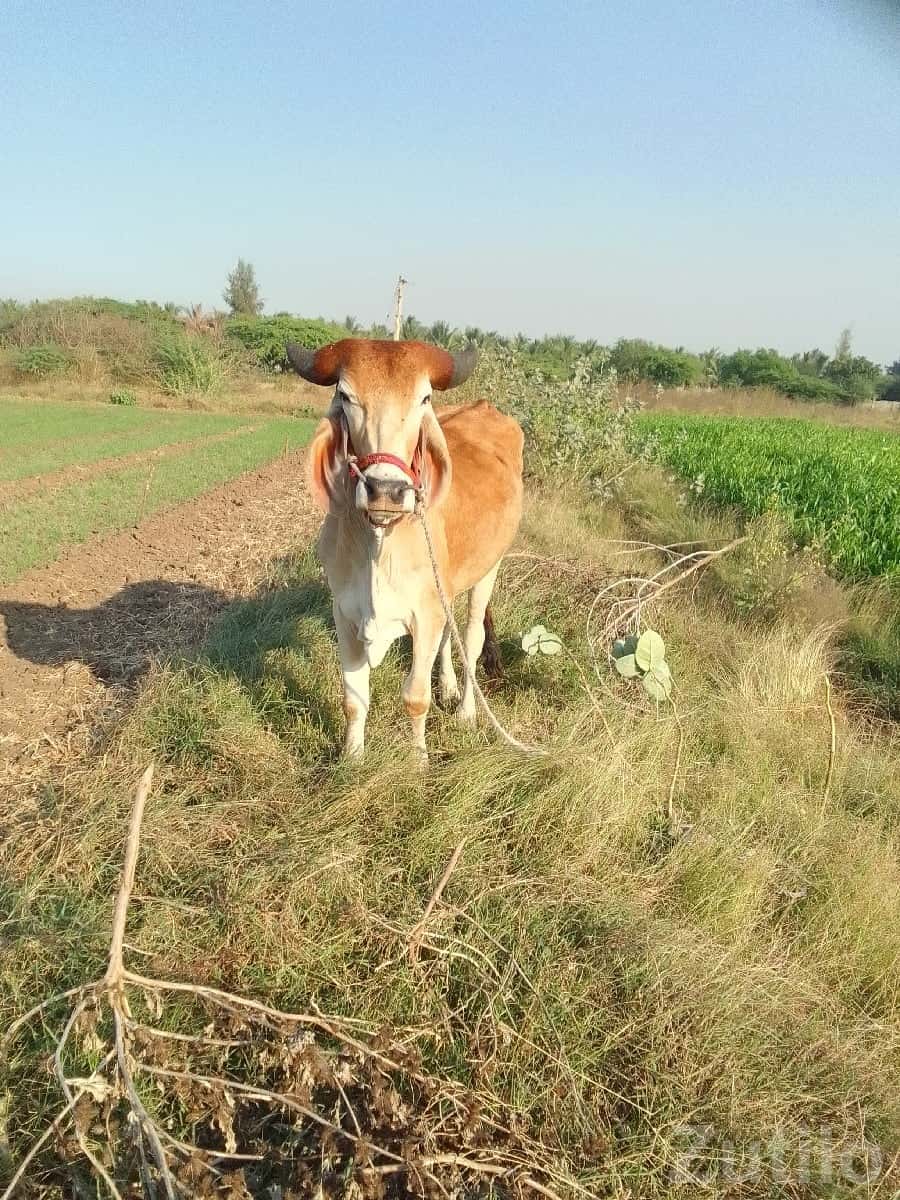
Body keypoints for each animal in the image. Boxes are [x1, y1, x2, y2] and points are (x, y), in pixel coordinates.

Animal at [286, 338, 524, 759]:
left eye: (424, 398)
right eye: (345, 395)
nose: (386, 490)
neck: (378, 545)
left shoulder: (424, 616)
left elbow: (415, 697)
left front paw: (418, 762)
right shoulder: (344, 612)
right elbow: (353, 698)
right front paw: (352, 758)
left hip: (489, 570)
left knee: (472, 638)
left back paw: (465, 710)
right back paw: (449, 686)